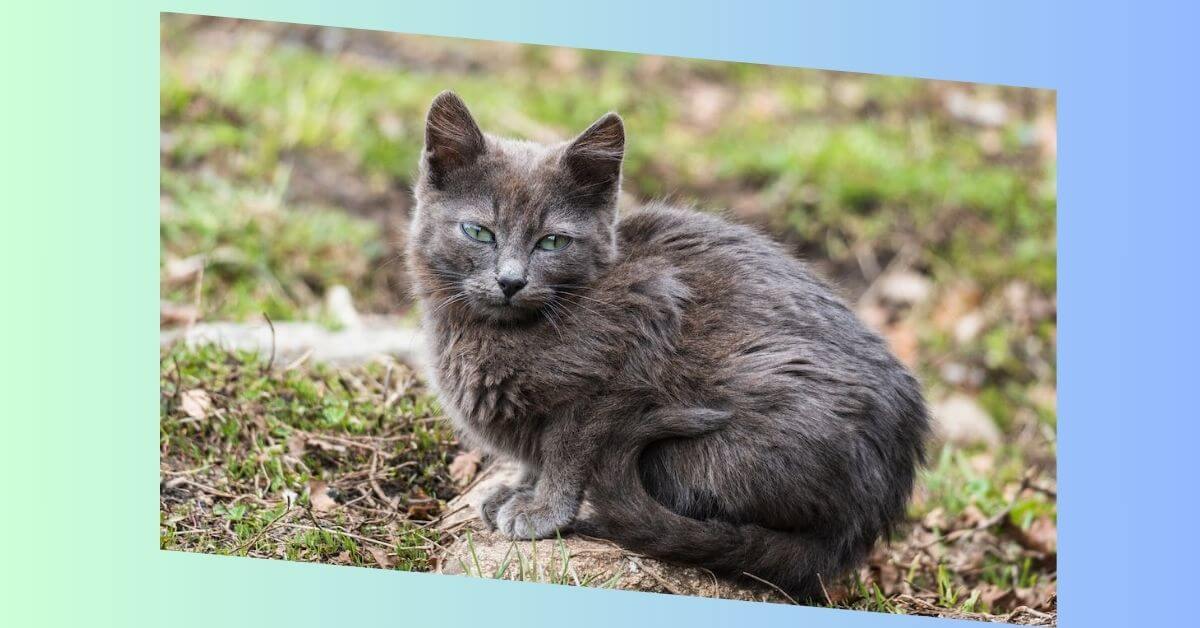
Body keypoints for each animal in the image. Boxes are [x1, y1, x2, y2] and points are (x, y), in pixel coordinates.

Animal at [405, 89, 926, 600]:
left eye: (552, 242)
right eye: (478, 232)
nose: (511, 281)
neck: (500, 330)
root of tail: (860, 528)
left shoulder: (632, 342)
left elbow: (567, 452)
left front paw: (541, 510)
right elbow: (536, 454)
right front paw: (516, 490)